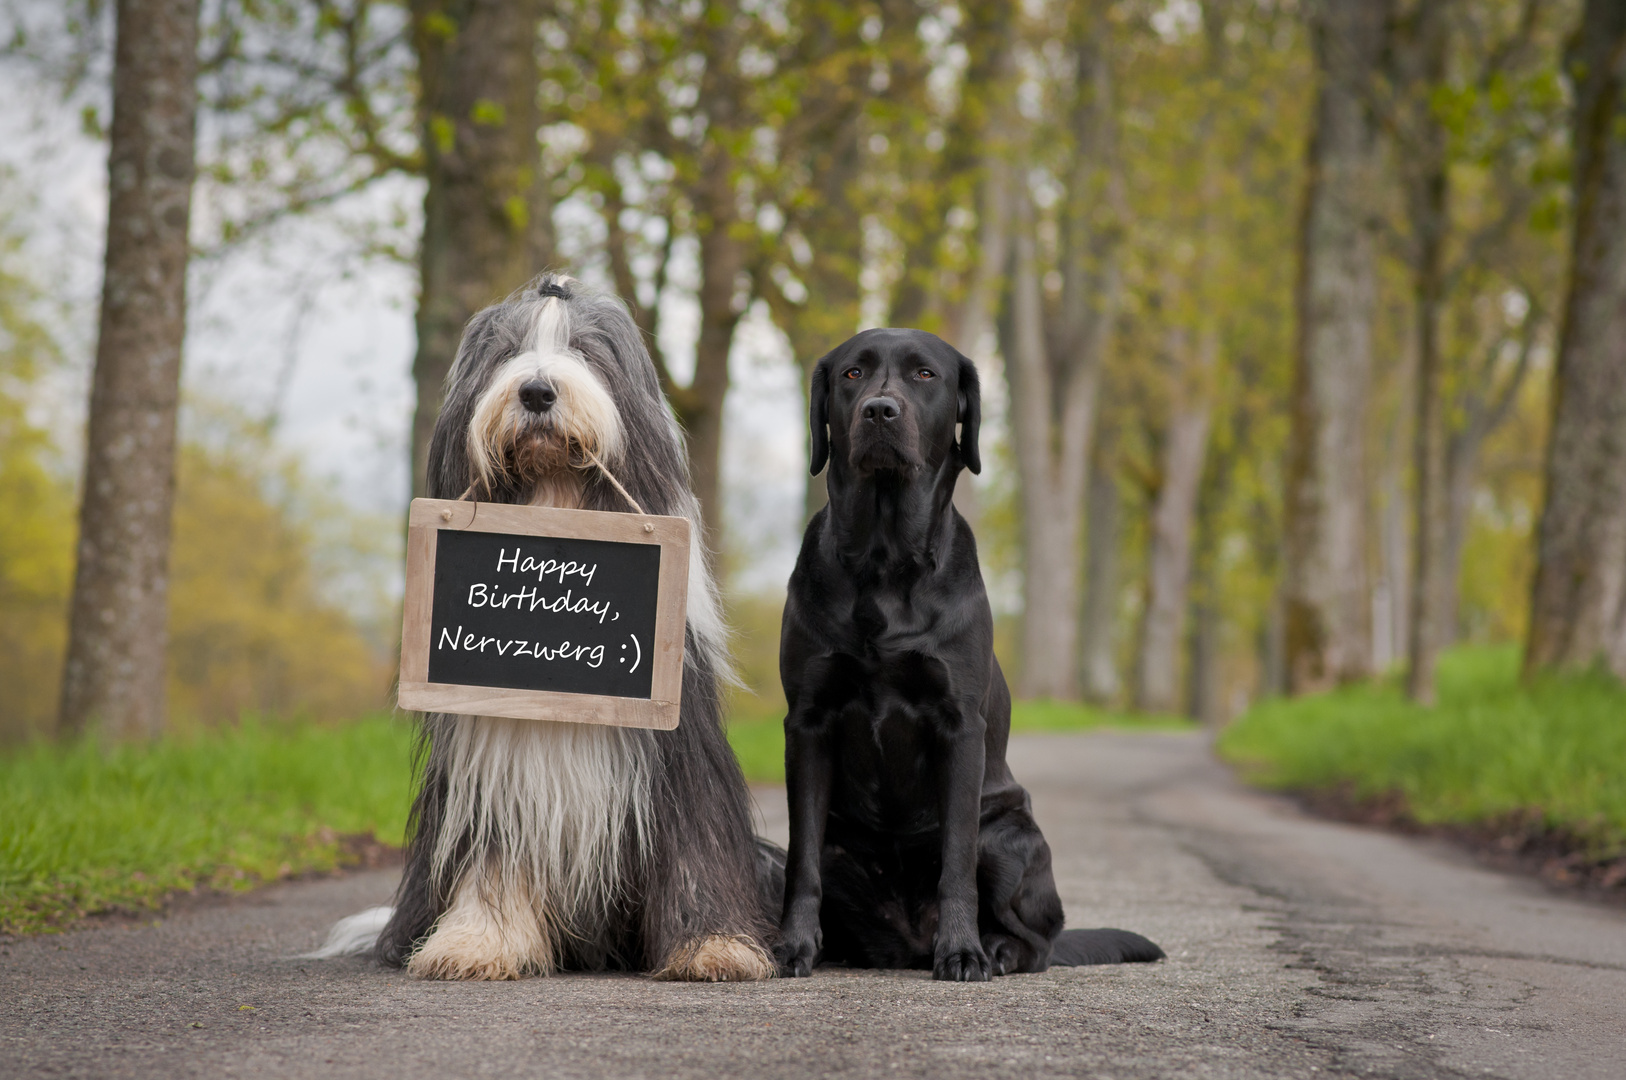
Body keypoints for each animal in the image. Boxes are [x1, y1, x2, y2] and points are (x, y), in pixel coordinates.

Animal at [315, 274, 780, 982]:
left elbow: (693, 848)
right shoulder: (491, 767)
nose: (536, 391)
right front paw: (478, 943)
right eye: (507, 352)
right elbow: (495, 858)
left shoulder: (677, 756)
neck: (555, 494)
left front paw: (713, 948)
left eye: (585, 351)